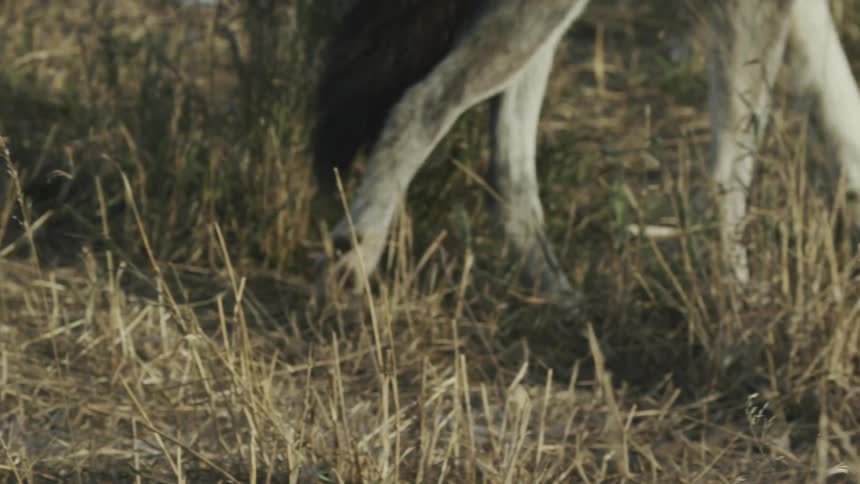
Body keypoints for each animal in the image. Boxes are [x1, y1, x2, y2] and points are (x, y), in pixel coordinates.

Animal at [312, 0, 860, 302]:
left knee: (506, 167)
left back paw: (561, 299)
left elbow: (838, 105)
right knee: (421, 103)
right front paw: (735, 297)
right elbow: (732, 168)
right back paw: (355, 257)